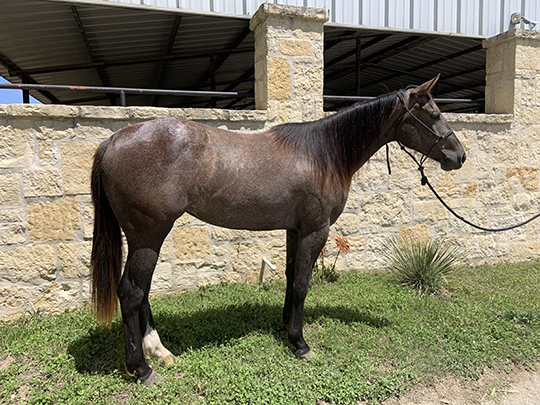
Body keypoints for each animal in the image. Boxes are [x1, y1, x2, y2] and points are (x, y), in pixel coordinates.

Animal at [90, 76, 466, 386]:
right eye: (434, 114)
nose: (459, 155)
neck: (323, 154)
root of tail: (114, 140)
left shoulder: (294, 230)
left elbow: (290, 276)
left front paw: (286, 325)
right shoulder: (316, 230)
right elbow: (302, 283)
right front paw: (300, 343)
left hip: (145, 238)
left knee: (142, 292)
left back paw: (158, 350)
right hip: (149, 235)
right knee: (132, 292)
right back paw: (141, 368)